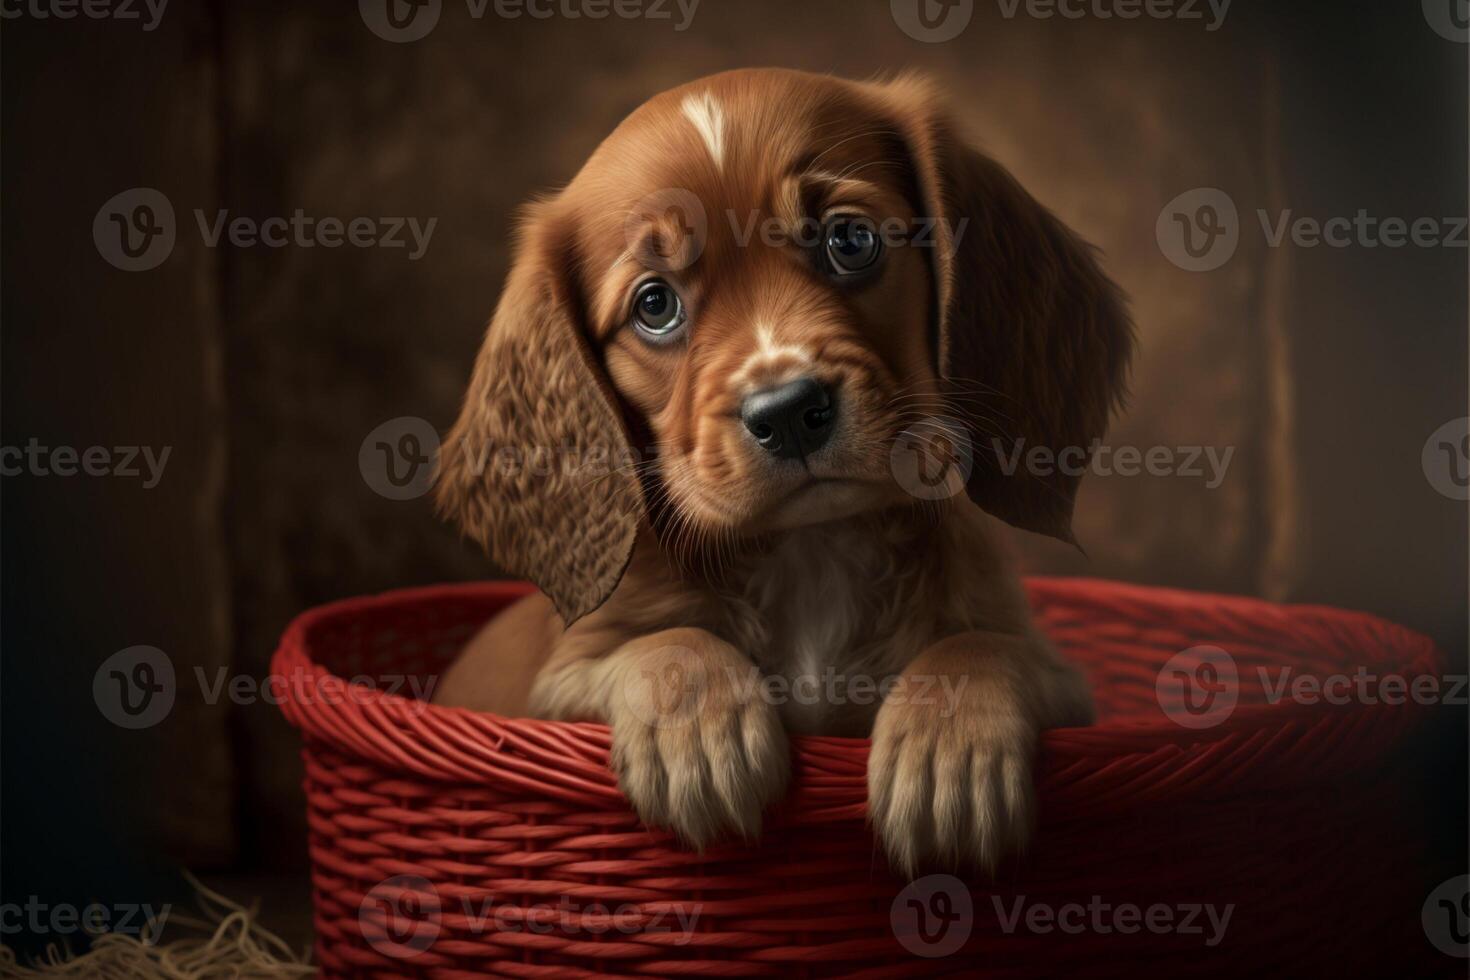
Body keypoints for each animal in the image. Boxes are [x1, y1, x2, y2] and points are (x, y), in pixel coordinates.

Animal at [429, 70, 1128, 881]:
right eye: (655, 305)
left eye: (850, 241)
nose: (789, 412)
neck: (810, 553)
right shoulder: (551, 689)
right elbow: (661, 644)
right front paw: (700, 734)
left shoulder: (1063, 677)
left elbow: (981, 647)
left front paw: (950, 754)